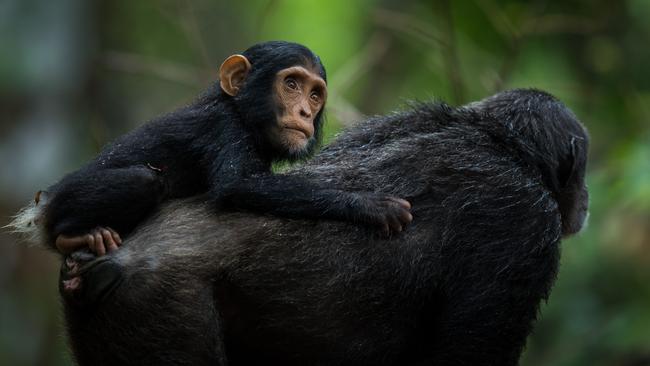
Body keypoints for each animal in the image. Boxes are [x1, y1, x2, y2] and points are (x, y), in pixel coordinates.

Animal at [22, 89, 588, 366]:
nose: (584, 198)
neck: (498, 144)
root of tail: (101, 261)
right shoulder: (524, 228)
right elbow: (469, 348)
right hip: (156, 311)